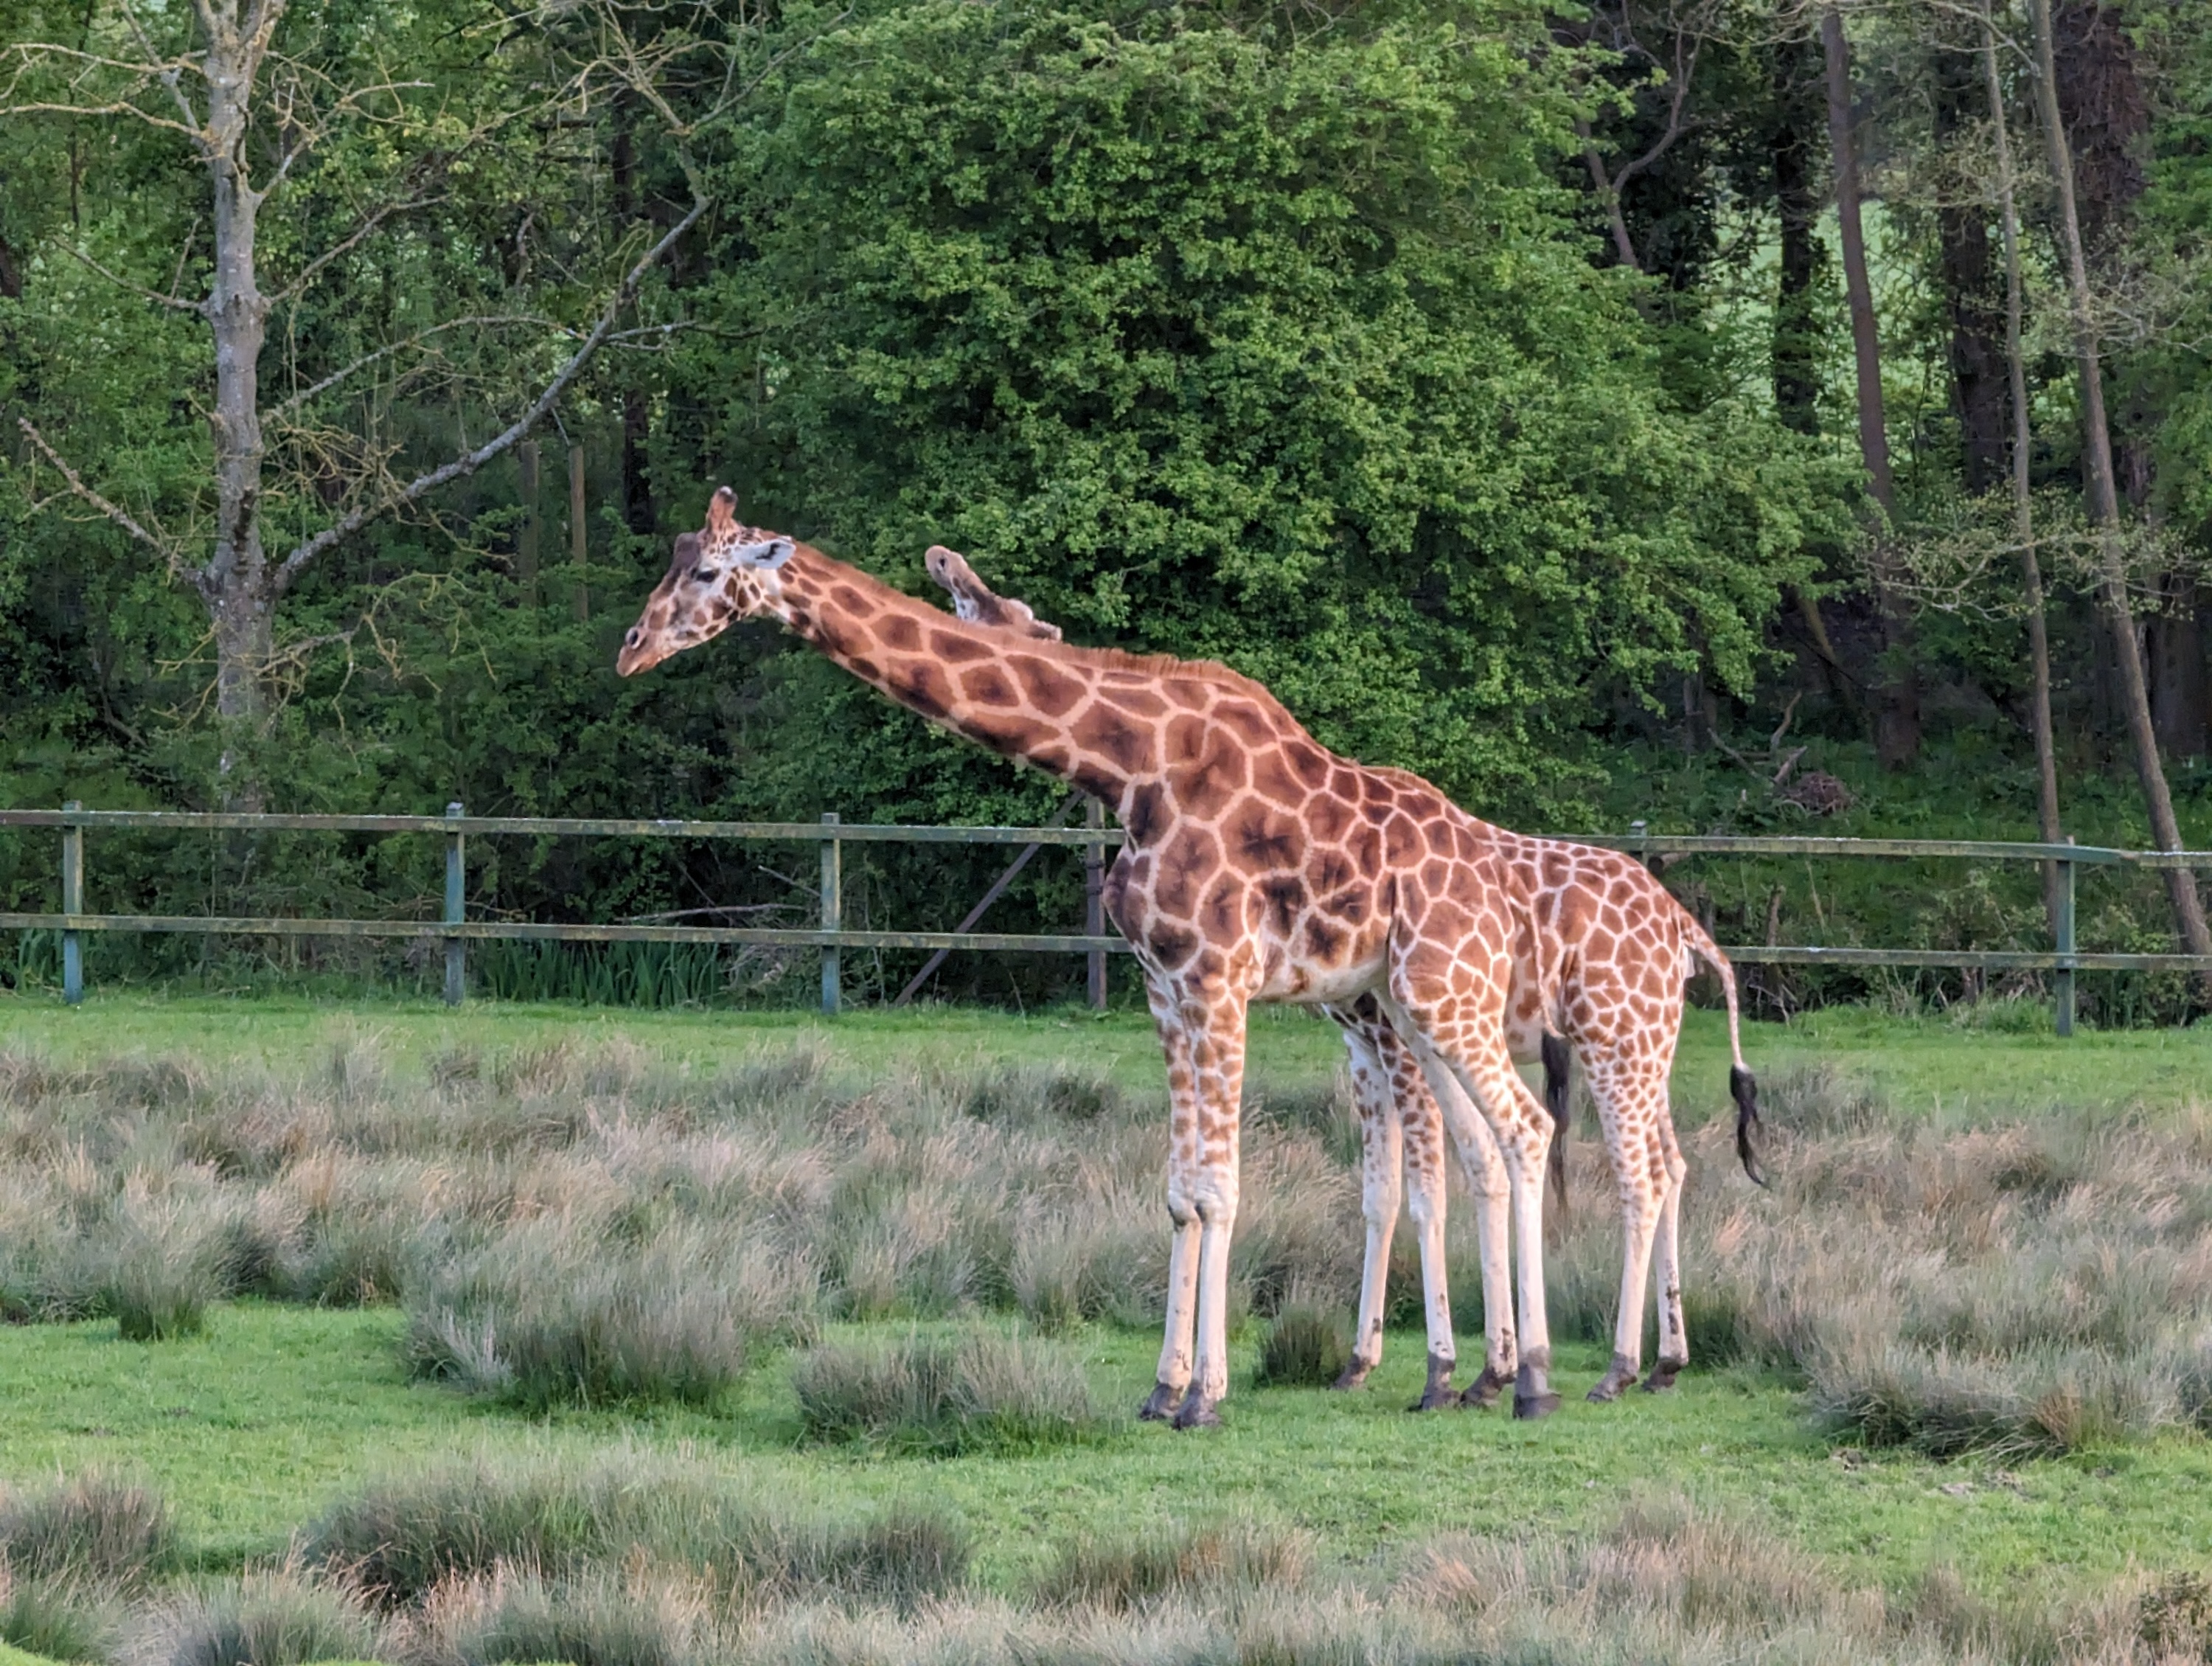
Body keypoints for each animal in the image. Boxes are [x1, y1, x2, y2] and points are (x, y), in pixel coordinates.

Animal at [615, 487, 1566, 1425]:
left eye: (706, 572)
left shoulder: (1217, 978)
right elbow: (1181, 1193)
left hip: (1435, 998)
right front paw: (1164, 1387)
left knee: (1523, 1129)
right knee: (1481, 1146)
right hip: (1415, 1006)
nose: (630, 650)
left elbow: (1221, 1187)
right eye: (671, 559)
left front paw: (1207, 1396)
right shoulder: (1164, 986)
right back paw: (1475, 1373)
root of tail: (1496, 884)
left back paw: (1529, 1379)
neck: (1134, 766)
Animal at [925, 549, 1770, 1407]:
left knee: (1637, 1174)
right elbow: (1389, 1191)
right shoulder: (1367, 1044)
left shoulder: (1391, 1038)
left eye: (1002, 610)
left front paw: (1449, 1369)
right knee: (1670, 1165)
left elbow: (1431, 1190)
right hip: (1644, 1046)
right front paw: (1390, 1361)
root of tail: (1687, 930)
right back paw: (1664, 1360)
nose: (944, 563)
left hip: (1612, 1040)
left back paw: (1616, 1367)